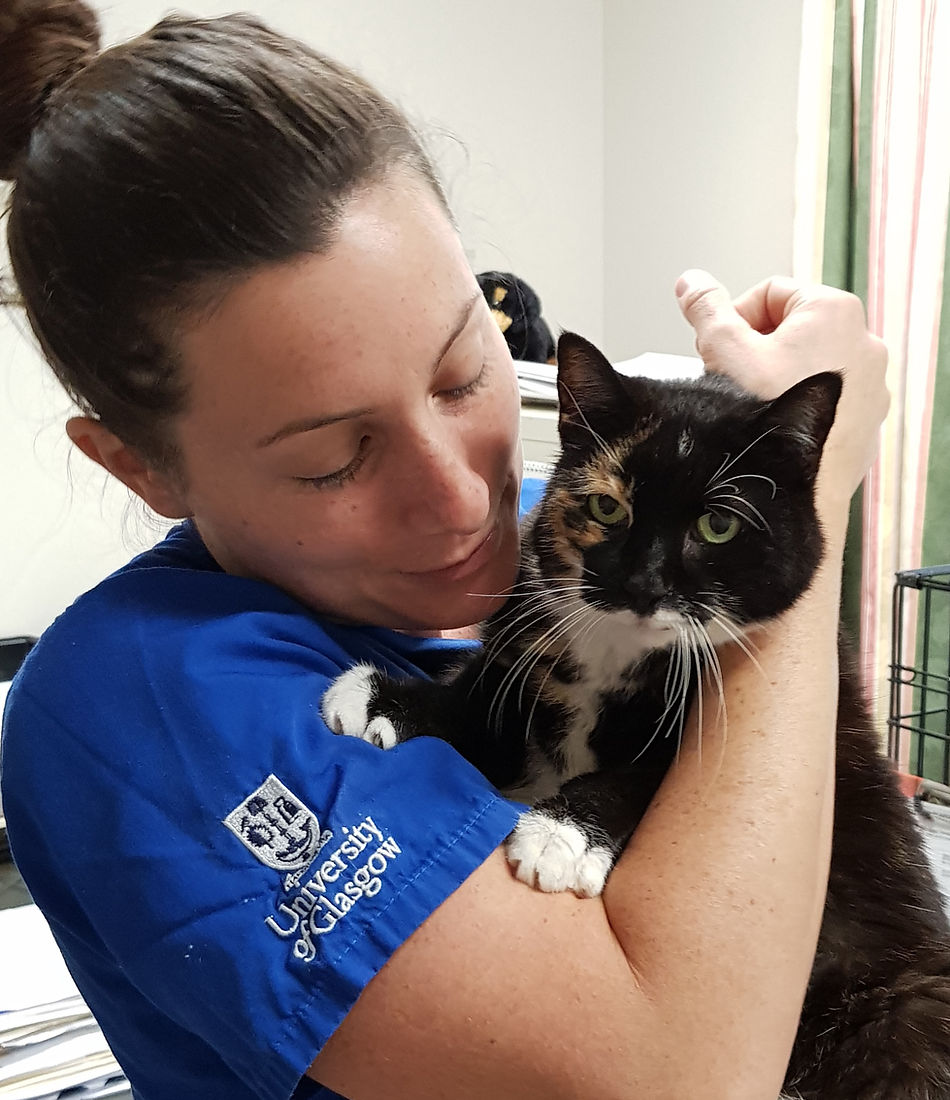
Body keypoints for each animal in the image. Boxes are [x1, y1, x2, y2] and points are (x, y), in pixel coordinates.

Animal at [323, 330, 950, 1095]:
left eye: (718, 524)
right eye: (606, 509)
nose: (643, 586)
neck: (616, 652)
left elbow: (643, 775)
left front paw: (561, 836)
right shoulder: (520, 661)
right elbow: (479, 704)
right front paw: (380, 699)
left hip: (907, 1012)